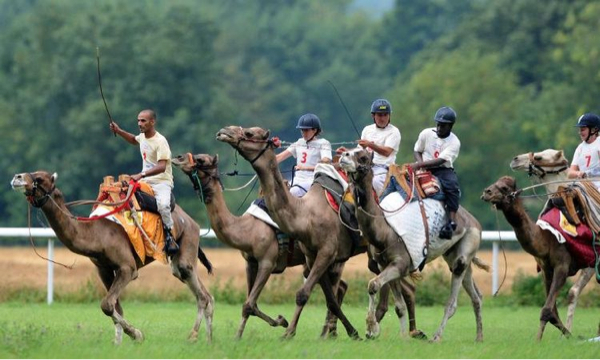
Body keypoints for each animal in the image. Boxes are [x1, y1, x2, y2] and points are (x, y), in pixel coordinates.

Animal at [10, 171, 214, 344]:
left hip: (187, 240)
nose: (17, 177)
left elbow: (107, 305)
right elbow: (115, 307)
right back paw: (208, 339)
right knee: (204, 293)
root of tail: (192, 221)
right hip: (180, 260)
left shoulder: (127, 267)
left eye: (40, 178)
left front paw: (137, 334)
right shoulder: (104, 269)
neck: (96, 234)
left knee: (199, 291)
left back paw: (194, 336)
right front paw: (118, 344)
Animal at [340, 147, 486, 344]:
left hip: (465, 249)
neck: (384, 230)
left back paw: (436, 337)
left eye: (362, 156)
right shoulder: (385, 264)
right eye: (350, 150)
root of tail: (476, 223)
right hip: (455, 255)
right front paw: (402, 338)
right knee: (476, 296)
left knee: (452, 303)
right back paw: (479, 337)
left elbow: (373, 284)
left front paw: (371, 329)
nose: (344, 156)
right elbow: (398, 306)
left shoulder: (400, 263)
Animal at [482, 176, 600, 338]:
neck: (546, 237)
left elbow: (547, 309)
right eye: (495, 183)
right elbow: (553, 312)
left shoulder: (562, 266)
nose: (486, 192)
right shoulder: (546, 269)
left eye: (505, 188)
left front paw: (538, 340)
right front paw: (568, 335)